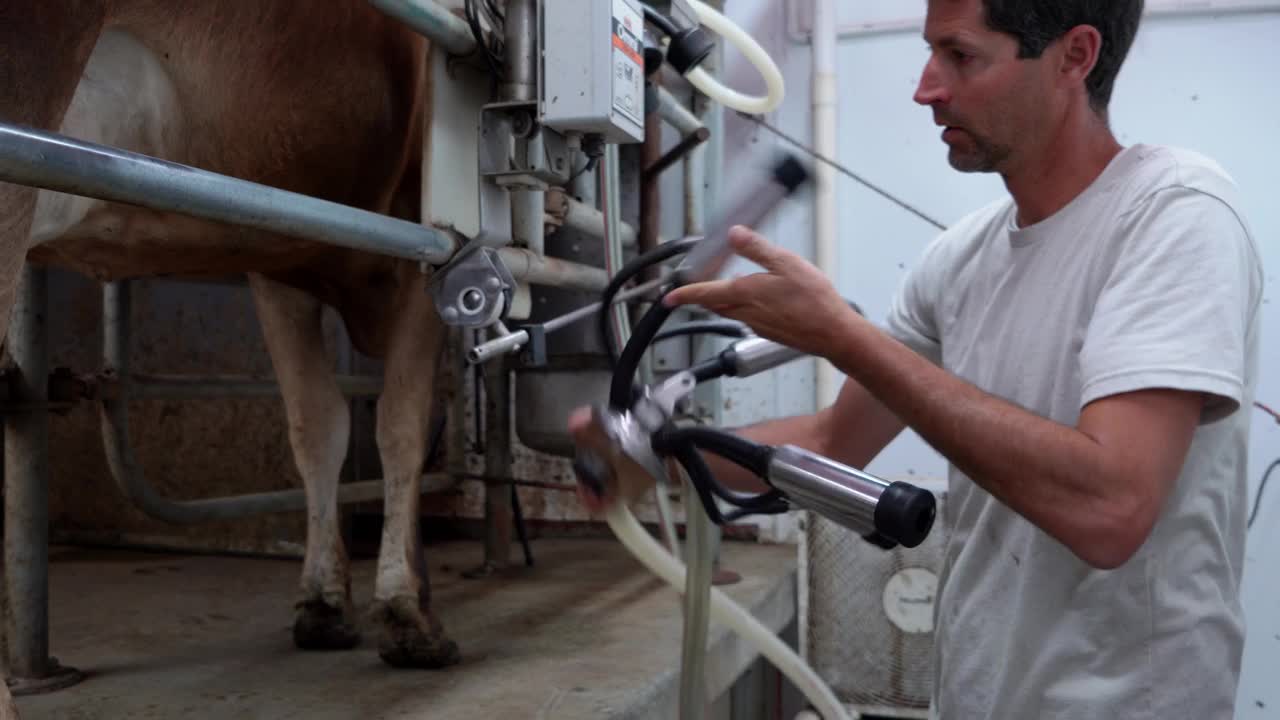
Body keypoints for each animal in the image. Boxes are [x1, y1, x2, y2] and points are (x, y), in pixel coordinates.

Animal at [0, 0, 471, 681]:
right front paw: (405, 605)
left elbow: (323, 427)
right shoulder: (412, 239)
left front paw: (331, 600)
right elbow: (388, 426)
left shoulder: (289, 258)